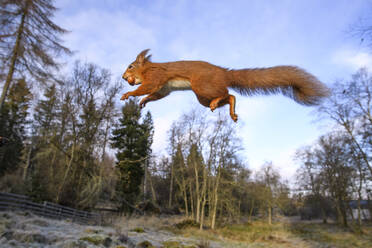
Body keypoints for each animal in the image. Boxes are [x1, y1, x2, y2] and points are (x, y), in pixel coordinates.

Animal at [120, 49, 328, 121]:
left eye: (130, 66)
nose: (123, 77)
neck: (147, 69)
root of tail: (223, 72)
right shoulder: (164, 87)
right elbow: (156, 94)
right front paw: (143, 101)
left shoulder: (155, 77)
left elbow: (146, 87)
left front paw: (129, 94)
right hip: (203, 95)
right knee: (231, 97)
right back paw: (231, 112)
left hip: (202, 87)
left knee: (227, 93)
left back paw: (221, 102)